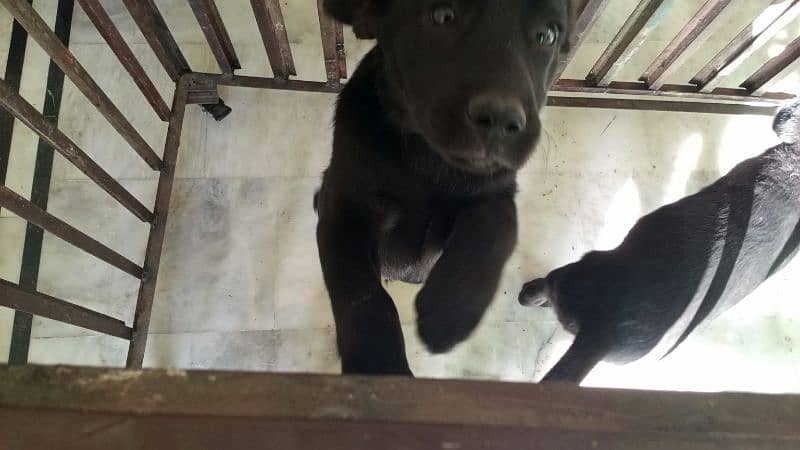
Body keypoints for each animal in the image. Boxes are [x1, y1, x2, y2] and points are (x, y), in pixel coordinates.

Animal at [318, 0, 576, 374]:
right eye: (443, 16)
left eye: (547, 36)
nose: (501, 120)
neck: (429, 161)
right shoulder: (343, 209)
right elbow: (360, 291)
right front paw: (378, 366)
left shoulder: (498, 192)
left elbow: (495, 229)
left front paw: (450, 310)